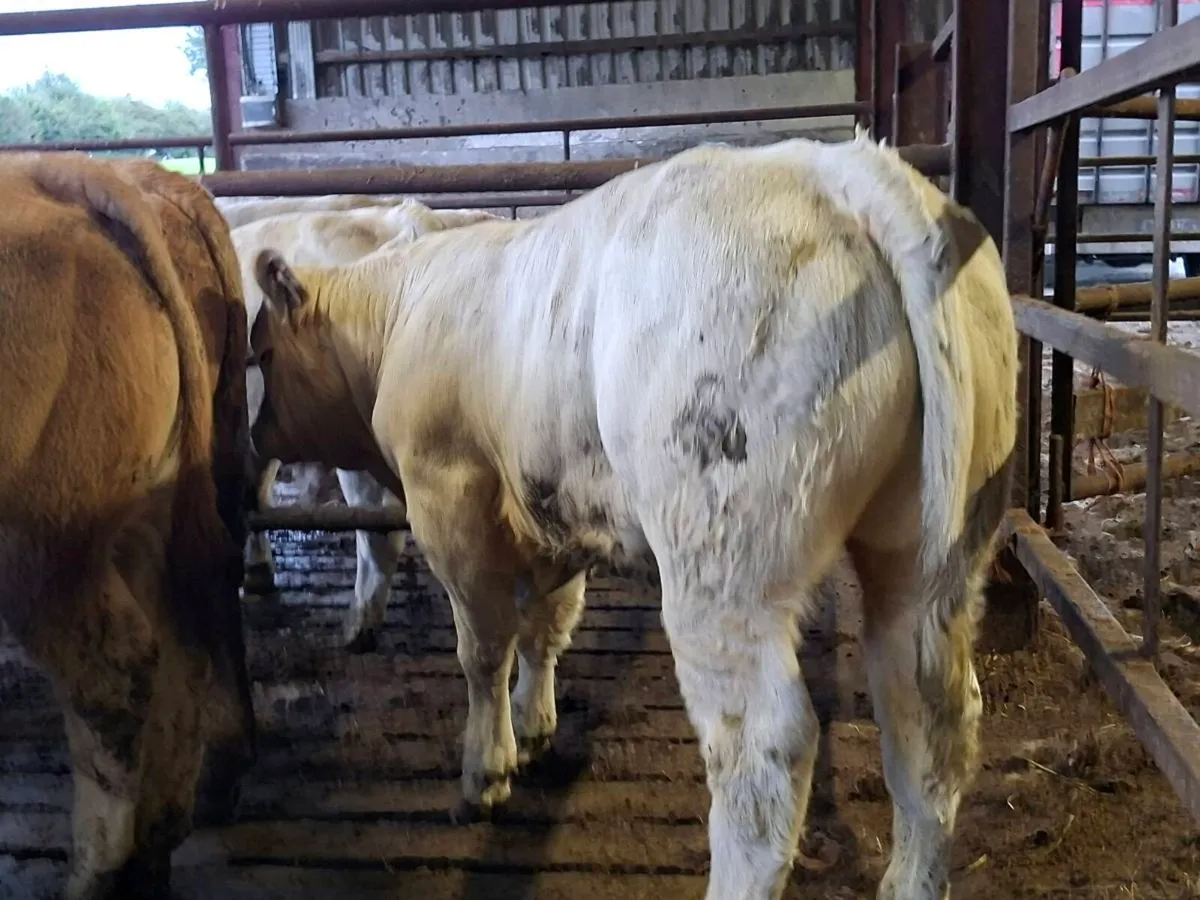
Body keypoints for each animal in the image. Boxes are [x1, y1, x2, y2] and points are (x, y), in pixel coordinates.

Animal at [0, 152, 254, 900]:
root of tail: (67, 175)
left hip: (42, 547)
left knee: (115, 674)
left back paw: (97, 873)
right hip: (159, 505)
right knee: (187, 629)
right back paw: (162, 838)